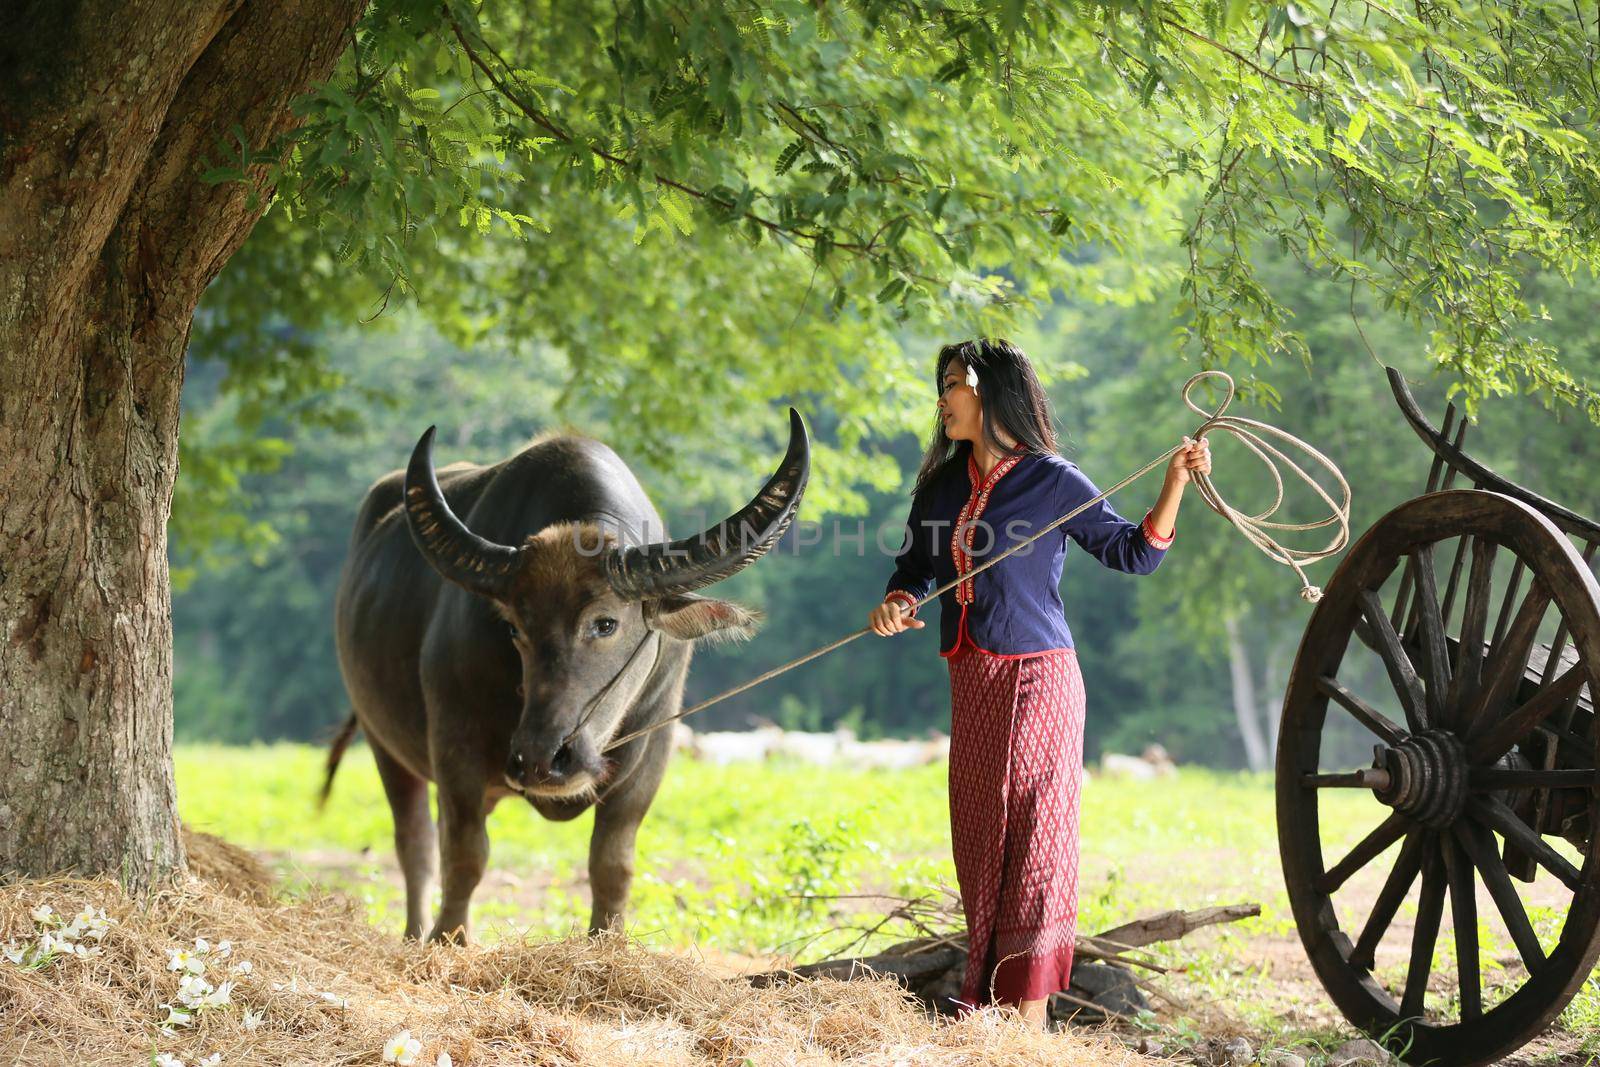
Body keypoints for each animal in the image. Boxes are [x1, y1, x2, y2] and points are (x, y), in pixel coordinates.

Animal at [324, 412, 806, 940]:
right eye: (515, 627)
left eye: (606, 623)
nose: (540, 759)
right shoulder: (455, 745)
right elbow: (465, 856)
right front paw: (448, 939)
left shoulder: (654, 749)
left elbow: (613, 862)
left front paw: (606, 942)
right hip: (383, 744)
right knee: (416, 844)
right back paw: (414, 932)